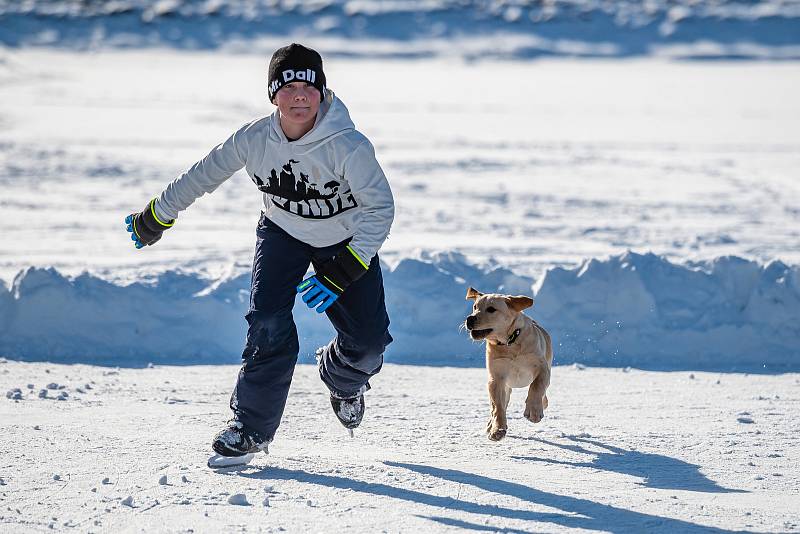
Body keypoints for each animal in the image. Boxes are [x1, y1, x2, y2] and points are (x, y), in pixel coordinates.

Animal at [466, 288, 552, 444]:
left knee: (543, 394)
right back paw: (491, 425)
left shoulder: (543, 368)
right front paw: (497, 430)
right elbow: (498, 407)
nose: (470, 319)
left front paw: (534, 411)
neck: (509, 343)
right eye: (475, 307)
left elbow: (536, 386)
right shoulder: (496, 378)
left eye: (491, 309)